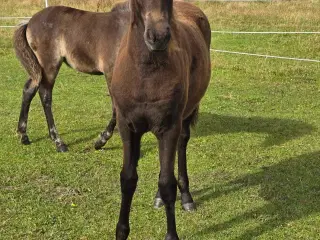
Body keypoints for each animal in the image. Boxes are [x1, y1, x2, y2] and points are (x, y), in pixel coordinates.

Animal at [13, 1, 129, 152]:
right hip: (49, 66)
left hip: (38, 69)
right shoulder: (111, 72)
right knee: (45, 96)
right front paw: (100, 141)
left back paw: (23, 136)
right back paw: (58, 142)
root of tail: (30, 22)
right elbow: (116, 107)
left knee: (29, 90)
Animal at [111, 0, 211, 239]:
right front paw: (121, 231)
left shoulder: (169, 127)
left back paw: (187, 197)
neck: (145, 74)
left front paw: (171, 234)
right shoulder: (127, 127)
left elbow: (167, 184)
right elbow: (128, 178)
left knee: (181, 146)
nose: (158, 37)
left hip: (184, 116)